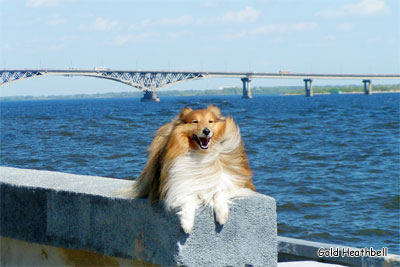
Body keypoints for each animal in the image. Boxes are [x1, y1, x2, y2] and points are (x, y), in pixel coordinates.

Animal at [130, 105, 255, 233]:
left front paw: (222, 215)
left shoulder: (233, 180)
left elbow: (219, 191)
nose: (206, 131)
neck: (202, 154)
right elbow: (187, 198)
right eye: (195, 121)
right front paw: (186, 224)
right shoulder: (179, 185)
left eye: (211, 121)